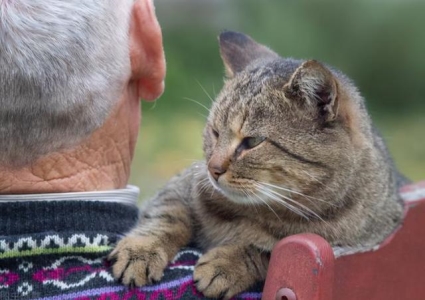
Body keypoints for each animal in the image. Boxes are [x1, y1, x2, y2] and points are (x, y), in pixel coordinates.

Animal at [109, 31, 404, 298]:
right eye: (215, 132)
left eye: (252, 142)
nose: (213, 169)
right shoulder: (182, 184)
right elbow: (166, 215)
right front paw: (140, 251)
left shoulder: (340, 246)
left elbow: (265, 250)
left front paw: (227, 263)